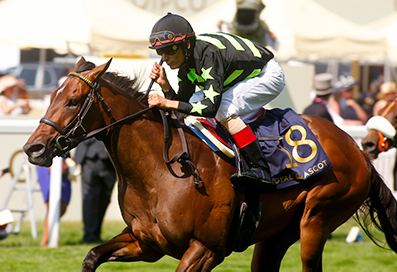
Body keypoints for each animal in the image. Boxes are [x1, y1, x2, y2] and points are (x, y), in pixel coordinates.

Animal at [24, 56, 396, 270]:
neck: (160, 170)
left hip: (317, 218)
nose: (33, 148)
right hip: (275, 236)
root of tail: (356, 150)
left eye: (73, 101)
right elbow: (92, 256)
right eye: (52, 95)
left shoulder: (205, 249)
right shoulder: (146, 243)